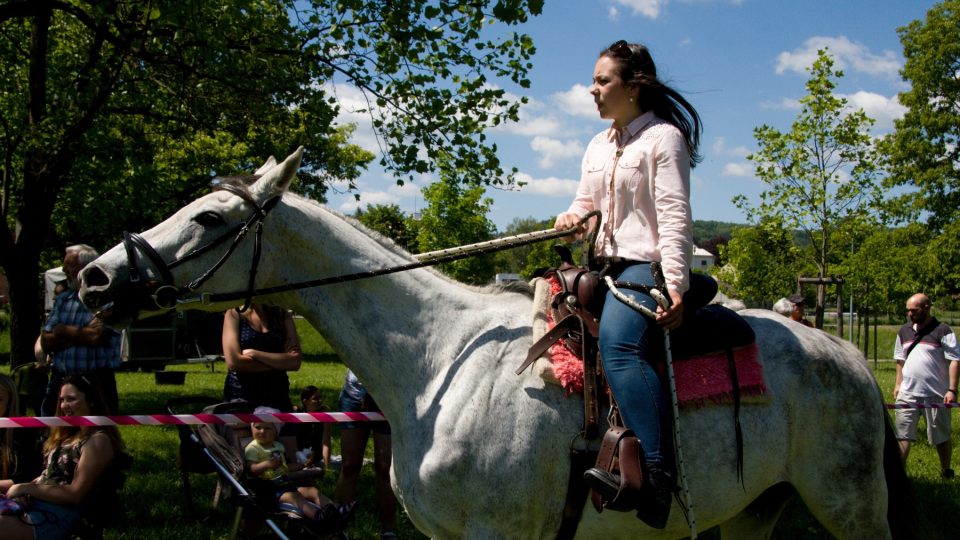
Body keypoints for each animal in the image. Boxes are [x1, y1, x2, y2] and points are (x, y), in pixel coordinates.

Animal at [80, 148, 908, 540]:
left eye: (210, 218)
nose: (94, 276)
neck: (437, 366)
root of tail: (850, 361)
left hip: (848, 506)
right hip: (753, 512)